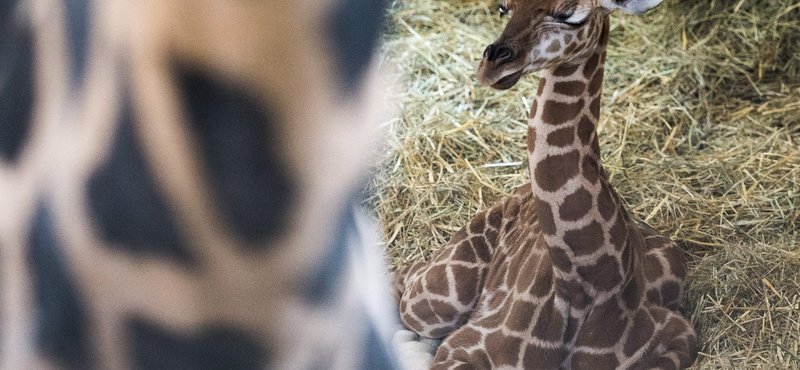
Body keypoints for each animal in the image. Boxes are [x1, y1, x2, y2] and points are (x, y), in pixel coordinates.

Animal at [396, 0, 696, 368]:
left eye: (571, 15)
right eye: (503, 8)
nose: (490, 66)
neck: (585, 287)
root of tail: (519, 192)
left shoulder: (680, 338)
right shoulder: (463, 348)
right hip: (440, 301)